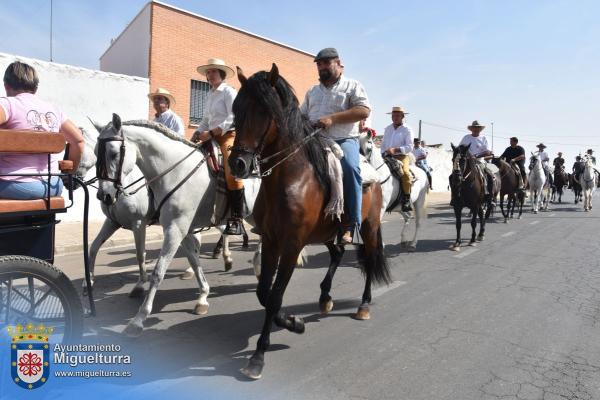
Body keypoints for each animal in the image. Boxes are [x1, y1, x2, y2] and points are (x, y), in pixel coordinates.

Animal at [94, 115, 260, 338]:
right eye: (96, 152)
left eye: (113, 153)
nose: (104, 195)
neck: (175, 172)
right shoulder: (184, 231)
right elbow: (194, 261)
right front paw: (203, 297)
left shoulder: (173, 230)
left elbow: (157, 271)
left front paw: (138, 319)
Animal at [227, 64, 392, 380]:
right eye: (236, 108)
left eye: (264, 110)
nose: (238, 164)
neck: (291, 178)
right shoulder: (271, 240)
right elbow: (264, 293)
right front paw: (293, 321)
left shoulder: (292, 244)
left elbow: (275, 297)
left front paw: (259, 355)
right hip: (327, 234)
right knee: (338, 253)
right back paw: (325, 297)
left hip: (368, 227)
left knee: (369, 259)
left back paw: (363, 306)